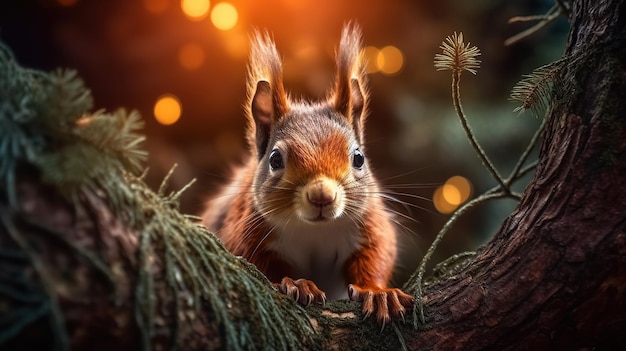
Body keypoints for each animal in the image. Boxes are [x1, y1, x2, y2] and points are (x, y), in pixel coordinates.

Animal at [202, 22, 412, 324]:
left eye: (358, 158)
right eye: (275, 159)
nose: (322, 195)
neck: (315, 230)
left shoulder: (370, 223)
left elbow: (377, 253)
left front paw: (378, 292)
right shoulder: (244, 227)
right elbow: (257, 264)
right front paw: (297, 283)